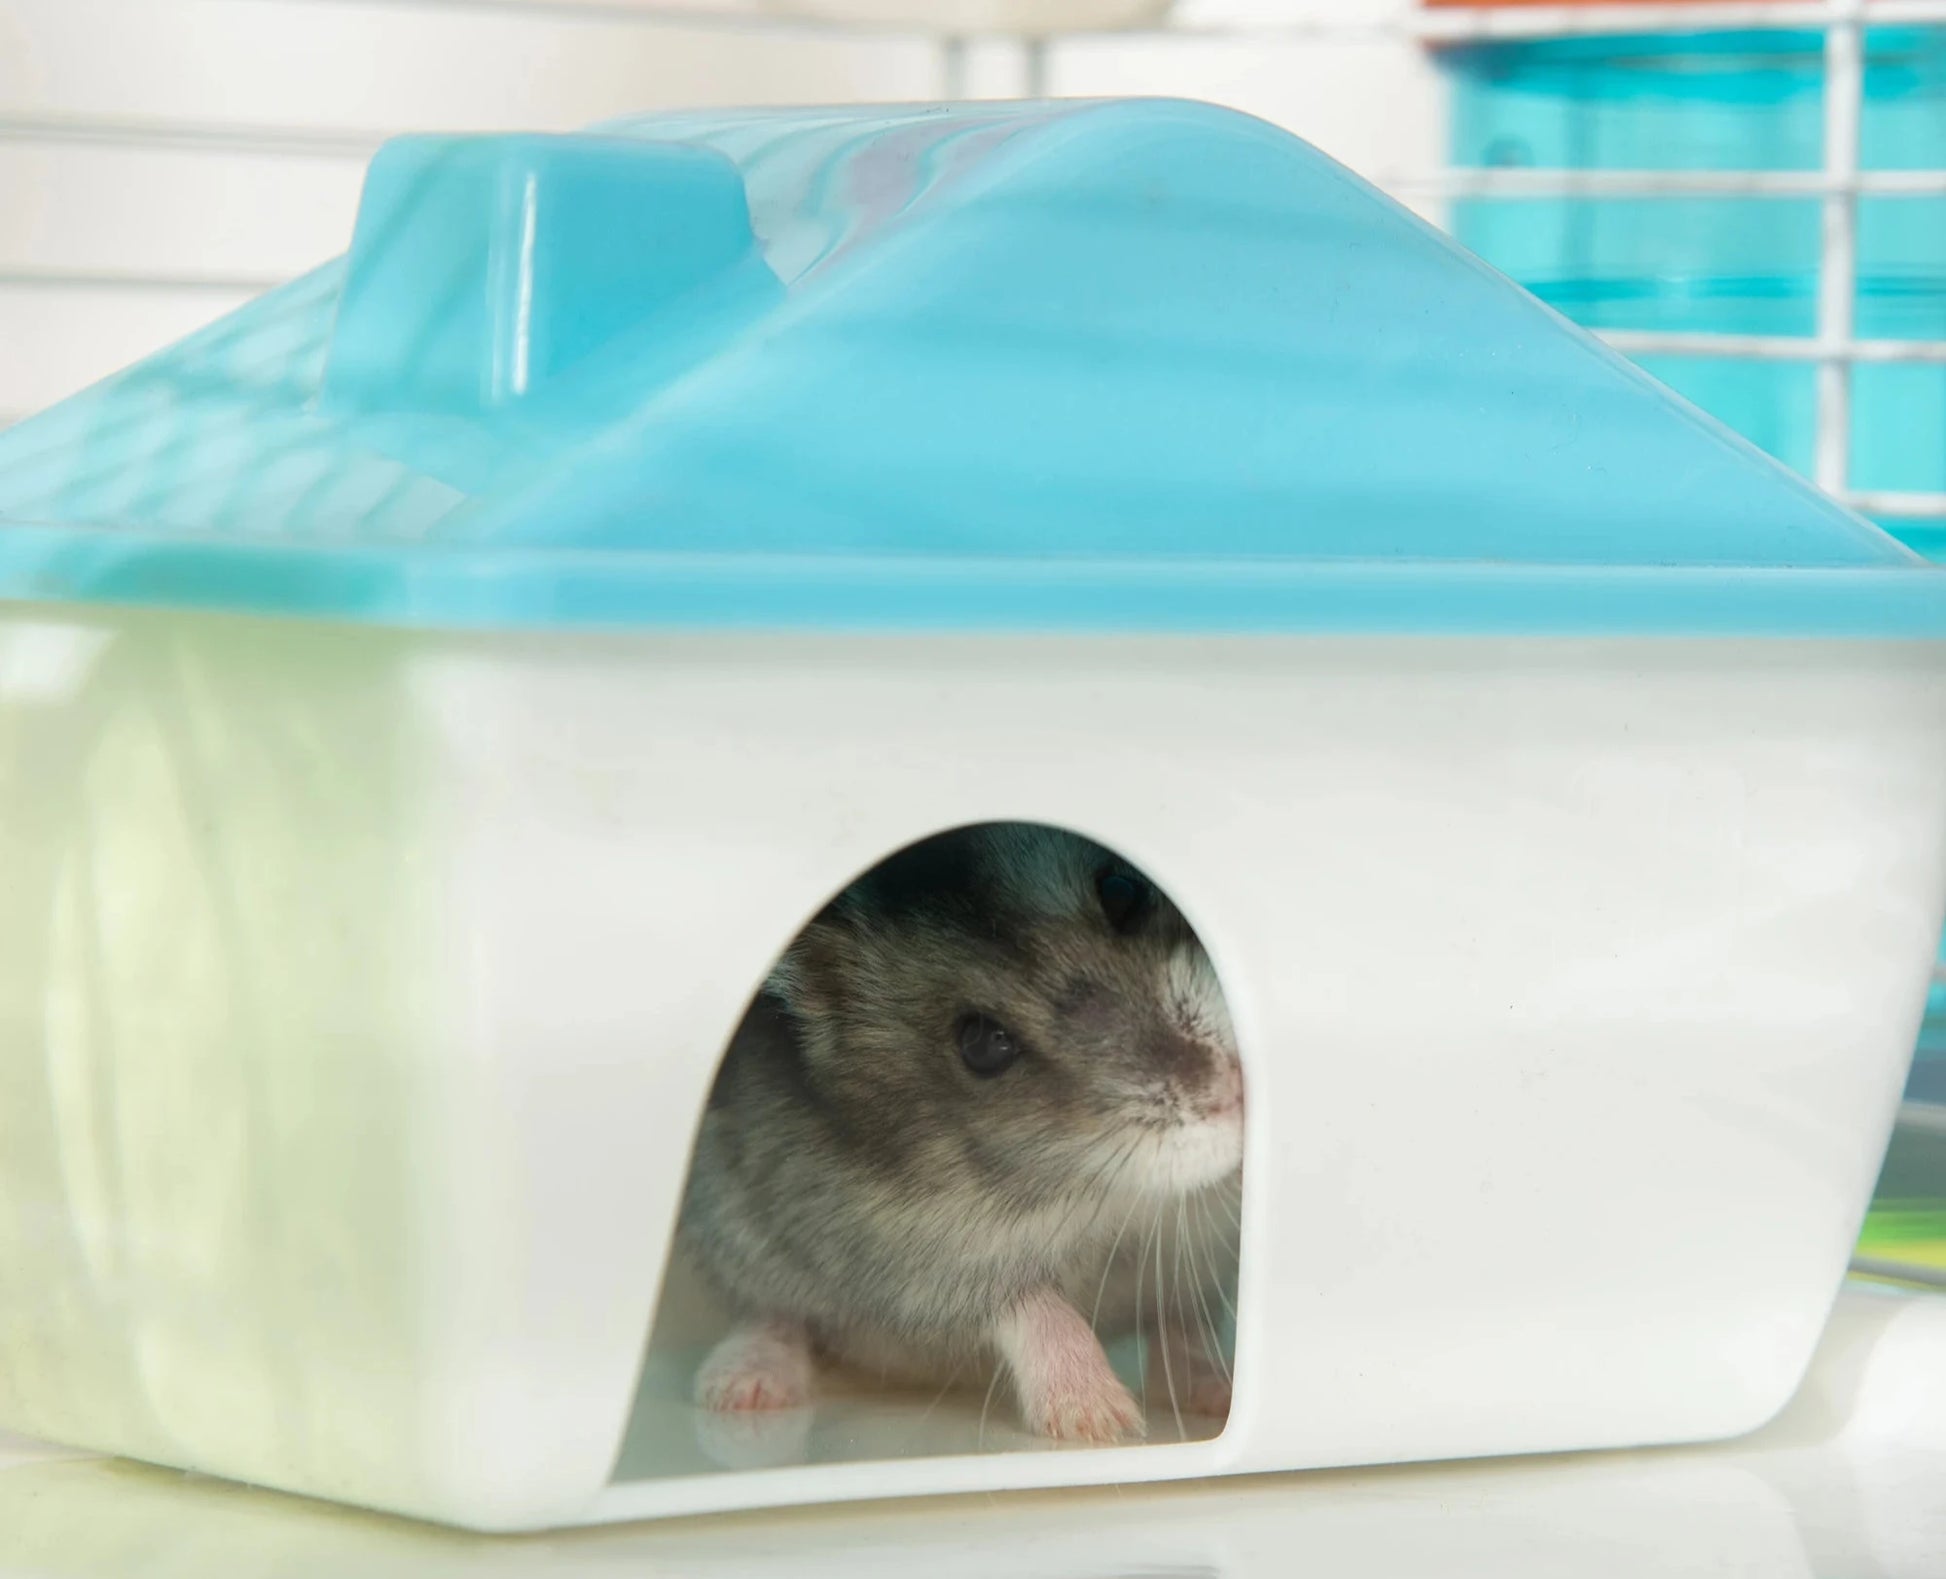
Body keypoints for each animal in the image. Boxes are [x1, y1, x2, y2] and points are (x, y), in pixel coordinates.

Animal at [677, 823, 1244, 1443]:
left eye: (1123, 891)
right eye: (982, 1044)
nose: (1238, 1093)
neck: (1107, 1195)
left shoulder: (1211, 1254)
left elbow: (1184, 1319)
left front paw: (1214, 1396)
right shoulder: (923, 1262)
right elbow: (1033, 1306)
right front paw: (1104, 1423)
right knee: (774, 1315)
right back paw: (739, 1390)